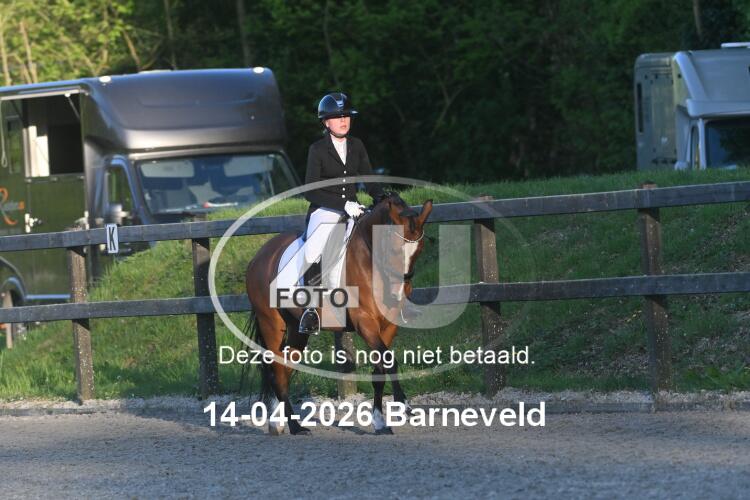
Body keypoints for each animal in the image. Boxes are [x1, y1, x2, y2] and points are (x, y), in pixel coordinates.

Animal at [244, 192, 433, 435]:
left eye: (419, 250)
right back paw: (295, 426)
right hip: (271, 324)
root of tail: (260, 256)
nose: (399, 294)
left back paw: (279, 423)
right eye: (393, 249)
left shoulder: (388, 326)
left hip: (297, 330)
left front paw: (380, 422)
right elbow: (389, 361)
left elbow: (379, 370)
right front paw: (404, 405)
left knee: (284, 369)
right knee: (276, 370)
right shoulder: (365, 322)